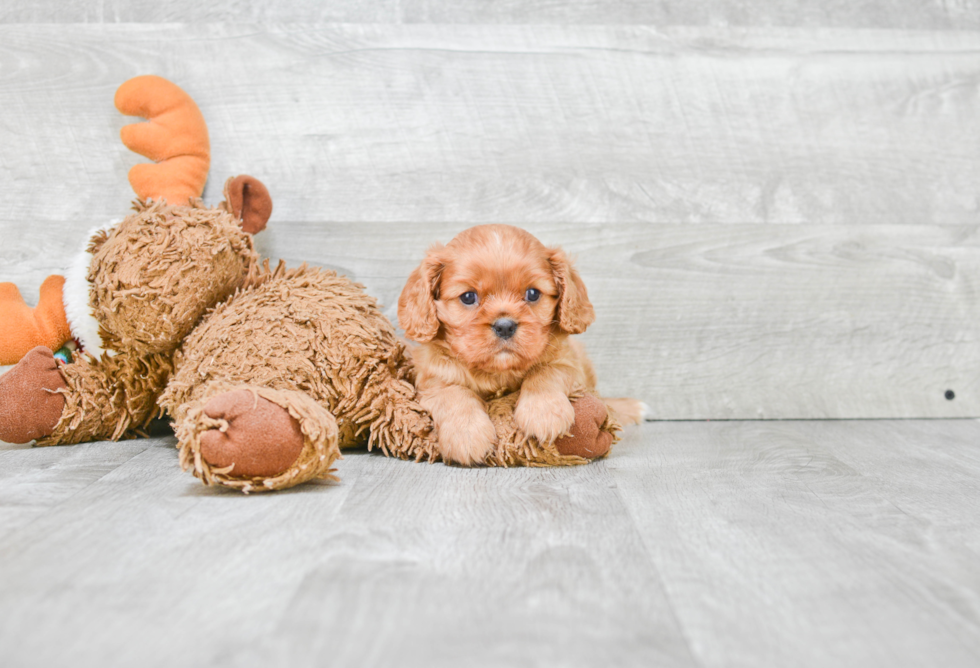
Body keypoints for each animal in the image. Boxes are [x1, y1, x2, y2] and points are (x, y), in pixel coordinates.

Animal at [398, 224, 644, 464]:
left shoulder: (570, 365)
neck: (498, 372)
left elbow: (546, 372)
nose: (505, 326)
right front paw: (467, 435)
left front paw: (543, 413)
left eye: (533, 294)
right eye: (468, 297)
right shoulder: (431, 379)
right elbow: (452, 393)